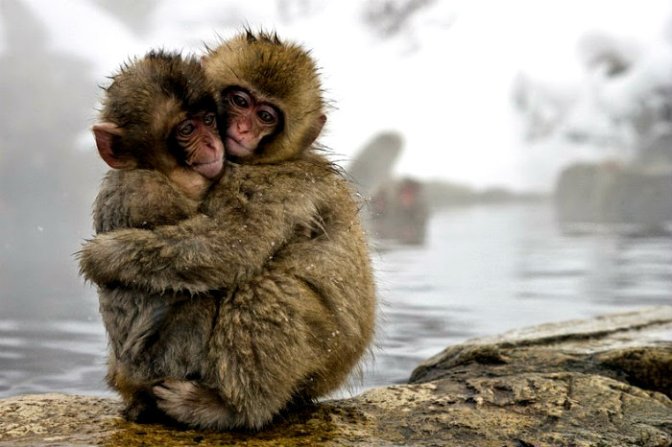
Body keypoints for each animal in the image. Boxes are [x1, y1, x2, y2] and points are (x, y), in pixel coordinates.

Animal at [79, 30, 376, 430]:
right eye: (240, 101)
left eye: (265, 116)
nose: (240, 130)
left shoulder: (269, 184)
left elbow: (232, 246)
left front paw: (103, 255)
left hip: (324, 355)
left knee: (265, 289)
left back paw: (231, 409)